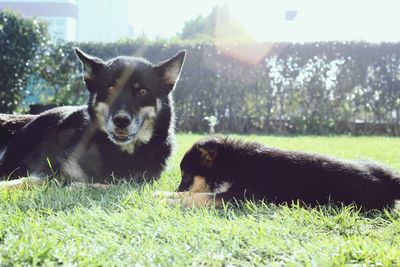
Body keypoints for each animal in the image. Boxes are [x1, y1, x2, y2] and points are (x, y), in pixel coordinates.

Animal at [163, 137, 400, 210]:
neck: (233, 163)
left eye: (186, 176)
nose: (177, 187)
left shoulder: (239, 196)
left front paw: (168, 200)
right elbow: (192, 194)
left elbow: (198, 196)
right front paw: (164, 194)